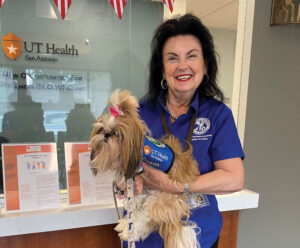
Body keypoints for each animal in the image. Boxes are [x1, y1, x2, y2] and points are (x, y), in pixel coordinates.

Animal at [90, 90, 200, 247]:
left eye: (116, 133)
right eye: (101, 129)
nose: (105, 134)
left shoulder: (137, 173)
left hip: (161, 199)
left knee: (147, 217)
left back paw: (129, 229)